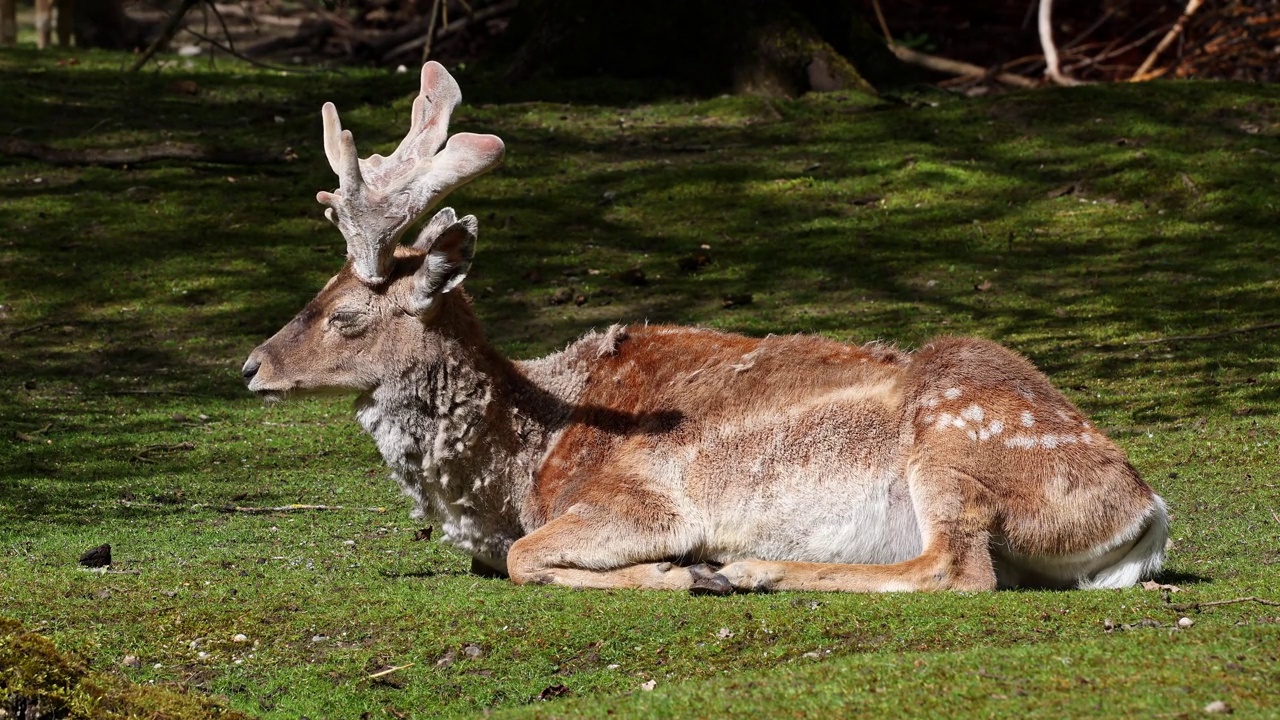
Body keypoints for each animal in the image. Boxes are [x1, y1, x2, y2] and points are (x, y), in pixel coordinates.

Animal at [241, 61, 1172, 591]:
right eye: (315, 291)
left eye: (346, 315)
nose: (250, 366)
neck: (519, 474)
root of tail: (1145, 511)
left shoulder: (640, 499)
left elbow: (523, 559)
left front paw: (680, 573)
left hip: (955, 448)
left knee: (962, 569)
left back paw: (747, 569)